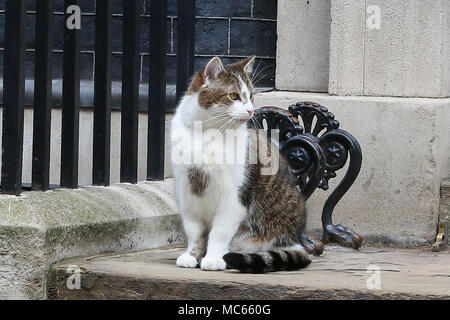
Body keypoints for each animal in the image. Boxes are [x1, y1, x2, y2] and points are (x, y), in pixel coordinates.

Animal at [171, 57, 312, 272]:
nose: (250, 110)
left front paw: (213, 258)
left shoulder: (233, 198)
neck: (207, 134)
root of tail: (295, 241)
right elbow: (194, 231)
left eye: (251, 96)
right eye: (234, 96)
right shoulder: (187, 193)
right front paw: (192, 255)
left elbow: (219, 233)